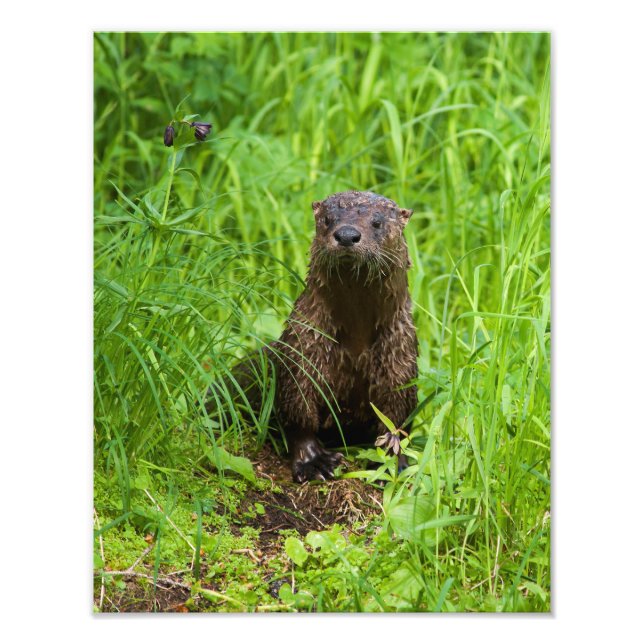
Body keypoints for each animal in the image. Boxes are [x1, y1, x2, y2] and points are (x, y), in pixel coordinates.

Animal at [272, 191, 418, 482]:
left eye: (377, 222)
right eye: (328, 220)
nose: (347, 235)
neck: (356, 344)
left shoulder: (401, 358)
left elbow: (397, 417)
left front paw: (392, 461)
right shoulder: (303, 348)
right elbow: (298, 411)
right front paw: (314, 461)